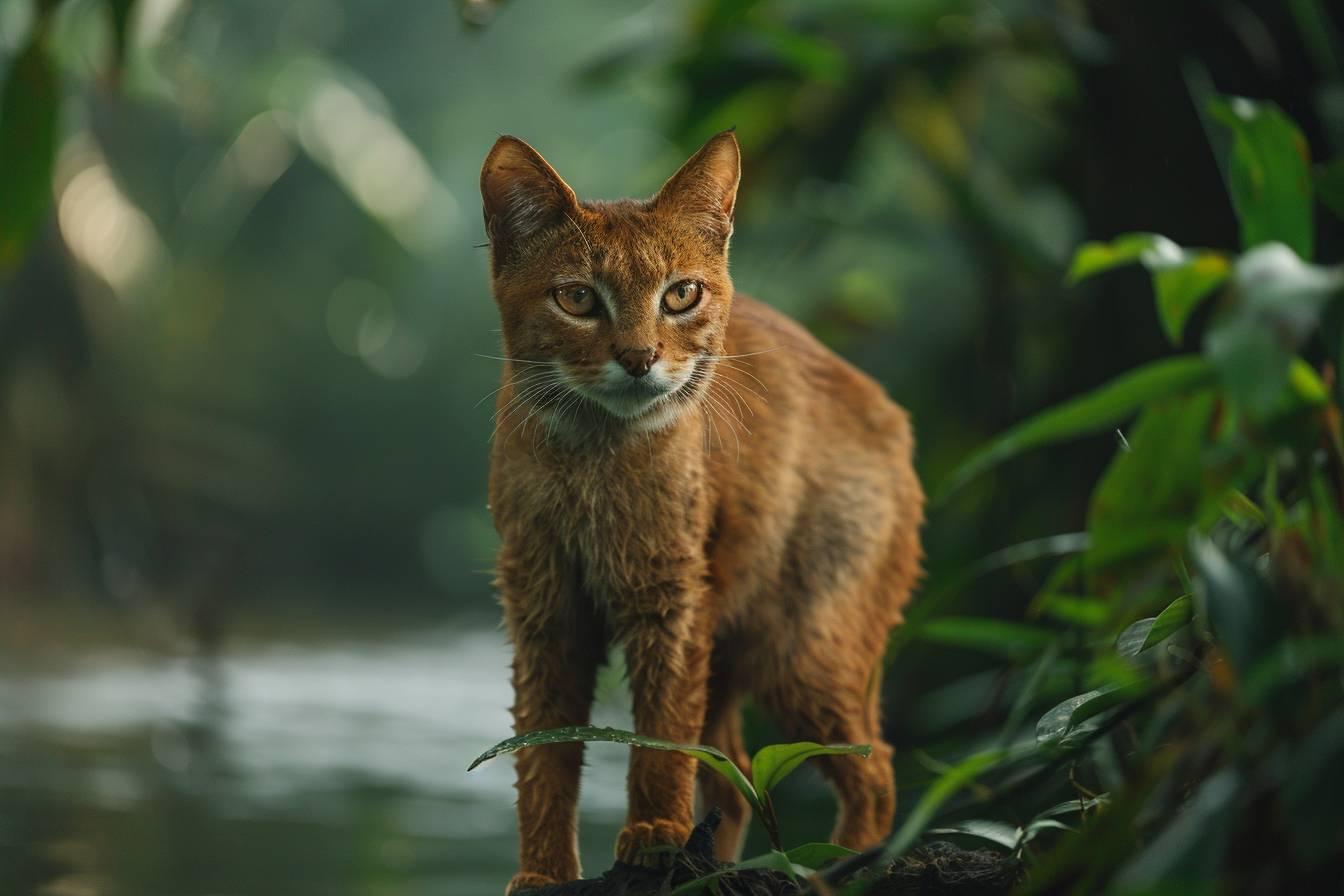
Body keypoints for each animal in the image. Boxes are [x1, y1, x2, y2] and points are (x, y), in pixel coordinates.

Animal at [475, 129, 924, 891]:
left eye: (681, 295)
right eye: (577, 299)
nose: (639, 358)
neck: (592, 453)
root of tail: (887, 408)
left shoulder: (670, 598)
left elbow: (660, 732)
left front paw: (655, 831)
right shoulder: (544, 606)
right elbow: (543, 746)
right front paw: (544, 872)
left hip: (803, 643)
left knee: (877, 768)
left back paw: (832, 870)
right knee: (740, 775)